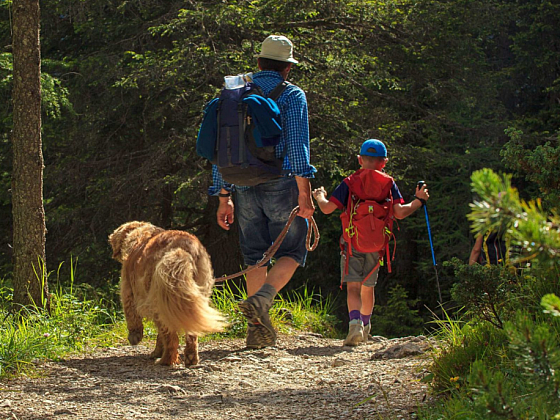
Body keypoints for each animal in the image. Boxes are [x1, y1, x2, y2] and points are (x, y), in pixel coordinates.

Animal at [108, 221, 224, 366]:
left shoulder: (128, 290)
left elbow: (132, 316)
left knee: (171, 337)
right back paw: (191, 357)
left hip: (160, 302)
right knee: (190, 335)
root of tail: (182, 249)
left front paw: (135, 336)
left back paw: (165, 360)